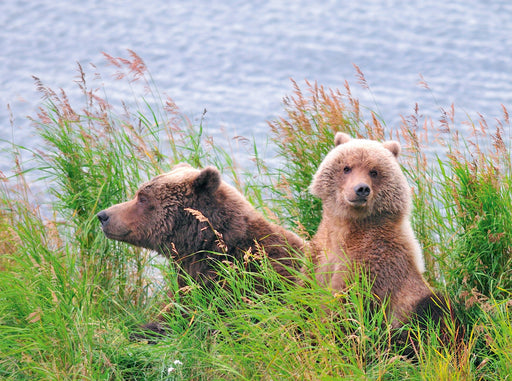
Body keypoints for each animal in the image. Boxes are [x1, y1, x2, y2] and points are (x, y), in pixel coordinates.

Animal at [308, 132, 448, 332]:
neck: (348, 226)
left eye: (374, 171)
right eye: (346, 168)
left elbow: (346, 302)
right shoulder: (319, 252)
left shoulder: (372, 260)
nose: (361, 189)